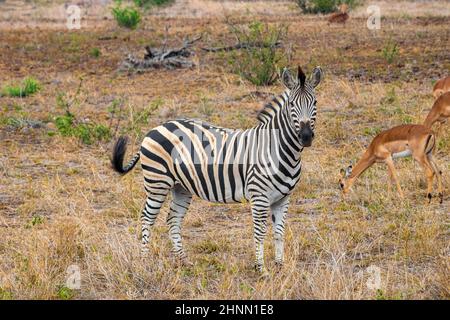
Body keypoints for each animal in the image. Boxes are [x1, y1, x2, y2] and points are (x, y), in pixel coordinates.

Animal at [112, 65, 324, 272]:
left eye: (315, 103)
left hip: (181, 187)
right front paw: (261, 269)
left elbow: (279, 232)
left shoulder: (283, 198)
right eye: (292, 105)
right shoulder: (259, 197)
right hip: (157, 183)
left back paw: (184, 262)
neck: (277, 149)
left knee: (173, 219)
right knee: (147, 218)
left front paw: (280, 267)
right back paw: (144, 262)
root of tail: (156, 128)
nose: (306, 137)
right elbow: (260, 232)